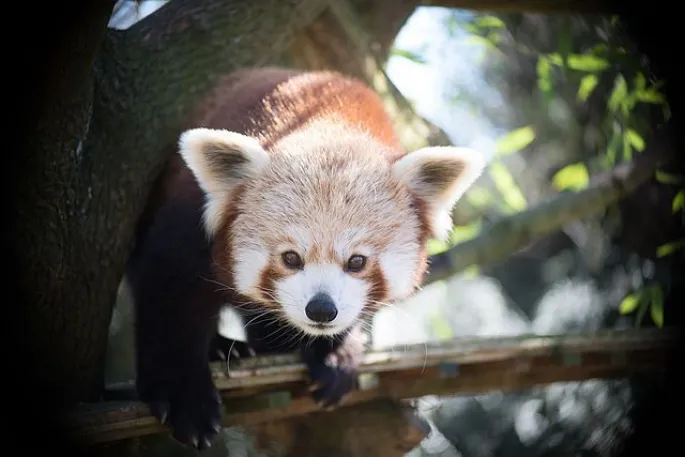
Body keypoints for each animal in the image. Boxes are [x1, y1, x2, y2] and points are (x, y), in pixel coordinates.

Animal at [124, 67, 486, 448]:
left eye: (357, 261)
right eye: (290, 258)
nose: (322, 310)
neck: (331, 121)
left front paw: (335, 354)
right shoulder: (190, 220)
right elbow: (171, 299)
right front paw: (185, 397)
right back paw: (225, 348)